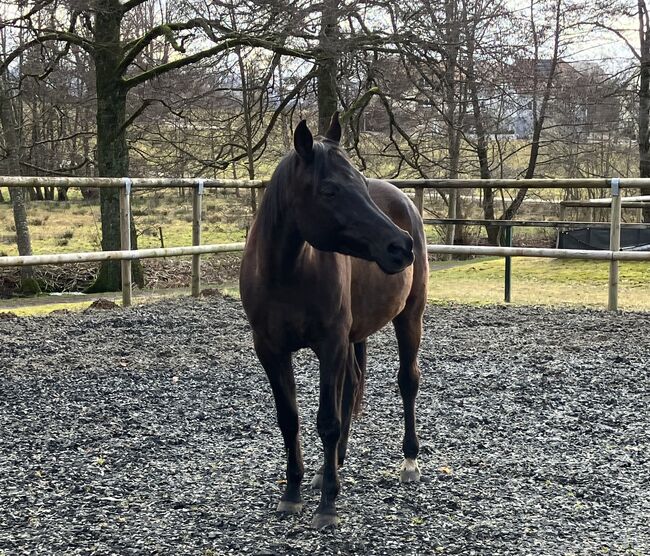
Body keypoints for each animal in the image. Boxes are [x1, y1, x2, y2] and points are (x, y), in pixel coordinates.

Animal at [240, 112, 428, 529]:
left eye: (359, 183)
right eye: (329, 190)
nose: (400, 246)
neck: (286, 273)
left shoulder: (330, 344)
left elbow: (327, 420)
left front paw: (328, 504)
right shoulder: (270, 350)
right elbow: (289, 419)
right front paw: (293, 492)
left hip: (409, 316)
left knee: (407, 381)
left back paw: (409, 462)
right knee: (352, 387)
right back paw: (334, 466)